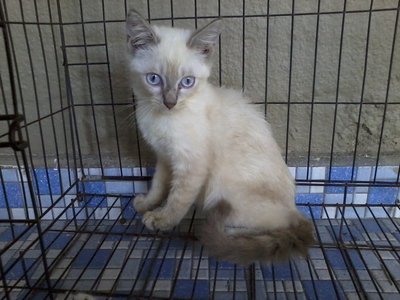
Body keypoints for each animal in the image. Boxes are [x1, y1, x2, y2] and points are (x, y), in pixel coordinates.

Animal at [126, 9, 314, 264]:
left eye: (187, 82)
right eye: (154, 79)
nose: (170, 102)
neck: (162, 118)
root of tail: (296, 208)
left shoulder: (191, 164)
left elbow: (177, 199)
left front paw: (161, 220)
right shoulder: (164, 157)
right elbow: (157, 185)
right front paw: (146, 204)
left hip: (222, 189)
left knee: (273, 225)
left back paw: (226, 232)